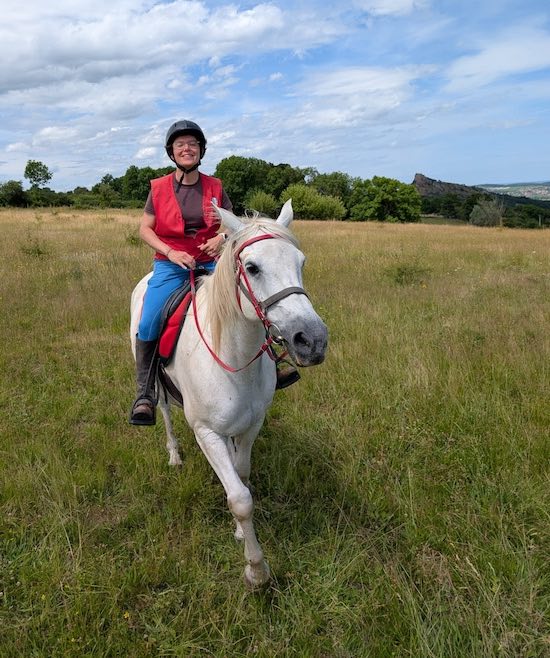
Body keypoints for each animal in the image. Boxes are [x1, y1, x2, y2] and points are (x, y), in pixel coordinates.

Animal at [129, 200, 328, 588]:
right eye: (252, 268)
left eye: (301, 262)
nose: (312, 340)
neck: (234, 358)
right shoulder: (208, 433)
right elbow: (240, 498)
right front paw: (256, 569)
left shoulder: (251, 425)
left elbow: (242, 474)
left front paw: (239, 531)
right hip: (157, 388)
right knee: (165, 414)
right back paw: (173, 454)